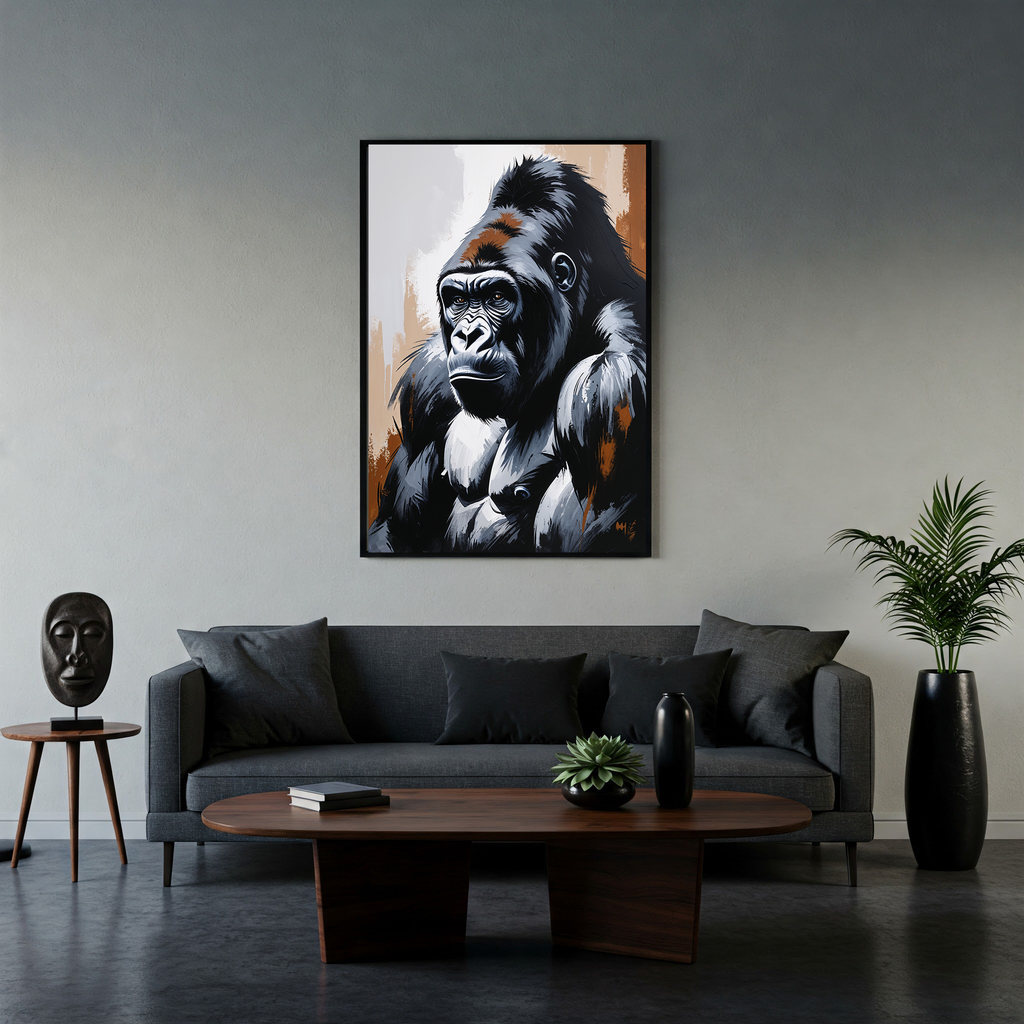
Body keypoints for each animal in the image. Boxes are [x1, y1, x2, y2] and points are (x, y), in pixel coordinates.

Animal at [367, 155, 648, 555]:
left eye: (497, 297)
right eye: (458, 300)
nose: (467, 335)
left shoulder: (611, 383)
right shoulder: (427, 381)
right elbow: (394, 526)